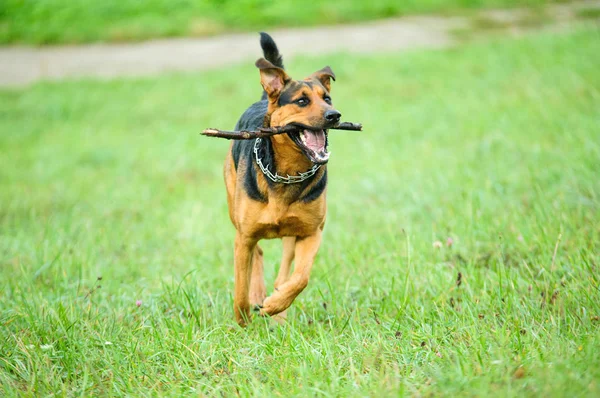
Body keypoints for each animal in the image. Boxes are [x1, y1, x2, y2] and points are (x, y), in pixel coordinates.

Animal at [223, 33, 340, 326]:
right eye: (301, 101)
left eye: (327, 98)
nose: (335, 115)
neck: (287, 173)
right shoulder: (244, 237)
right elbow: (240, 289)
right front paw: (242, 323)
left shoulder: (311, 232)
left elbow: (300, 277)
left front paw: (276, 305)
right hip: (236, 215)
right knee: (258, 254)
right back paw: (258, 295)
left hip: (292, 233)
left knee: (286, 268)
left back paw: (277, 308)